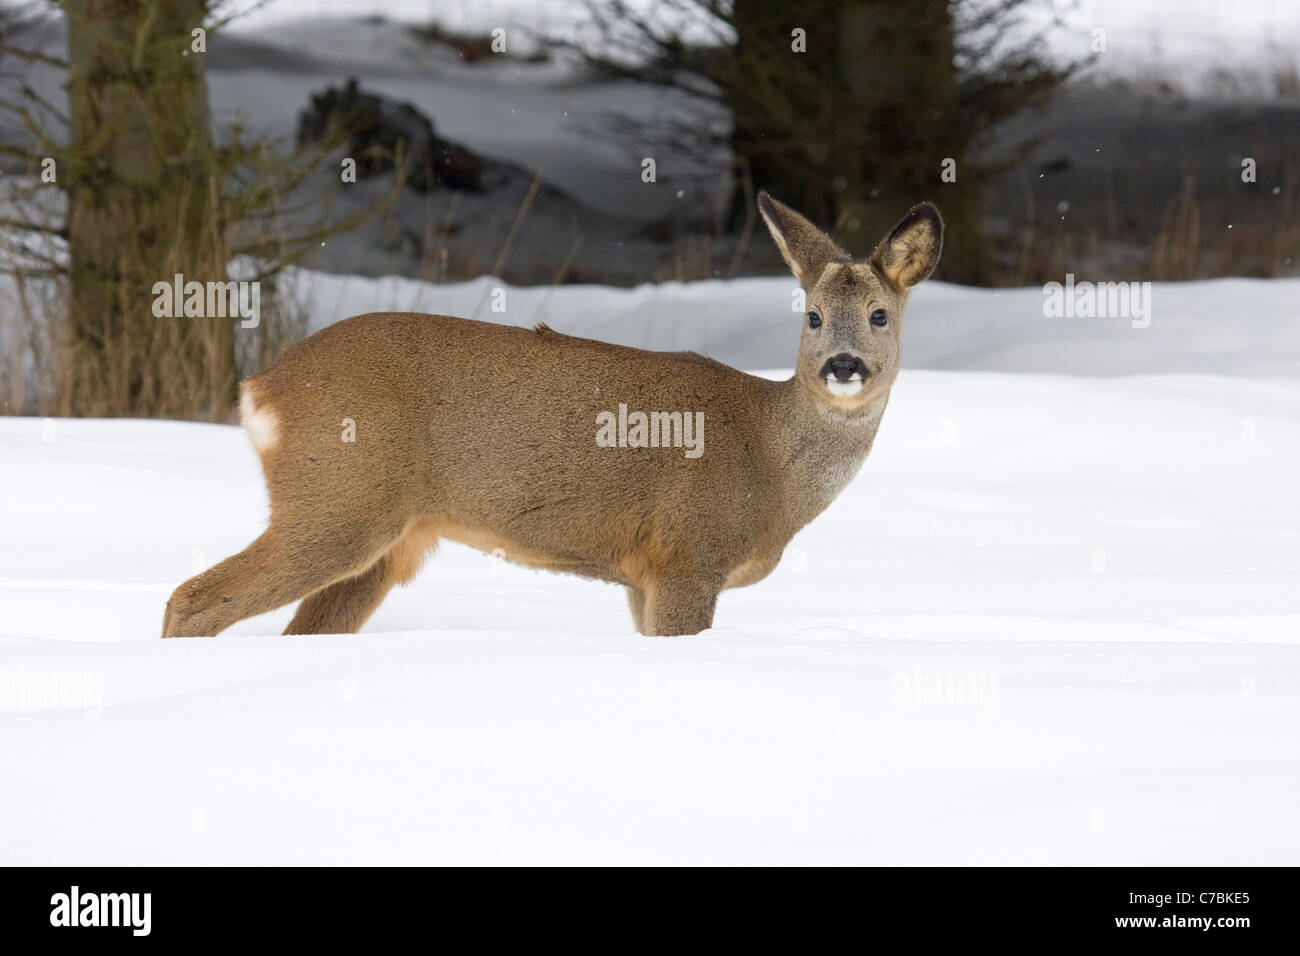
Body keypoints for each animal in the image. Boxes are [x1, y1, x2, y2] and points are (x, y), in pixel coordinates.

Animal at [162, 193, 941, 639]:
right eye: (813, 317)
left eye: (880, 314)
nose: (843, 365)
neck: (774, 469)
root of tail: (260, 387)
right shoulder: (687, 554)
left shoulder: (642, 578)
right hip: (339, 497)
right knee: (190, 599)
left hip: (387, 541)